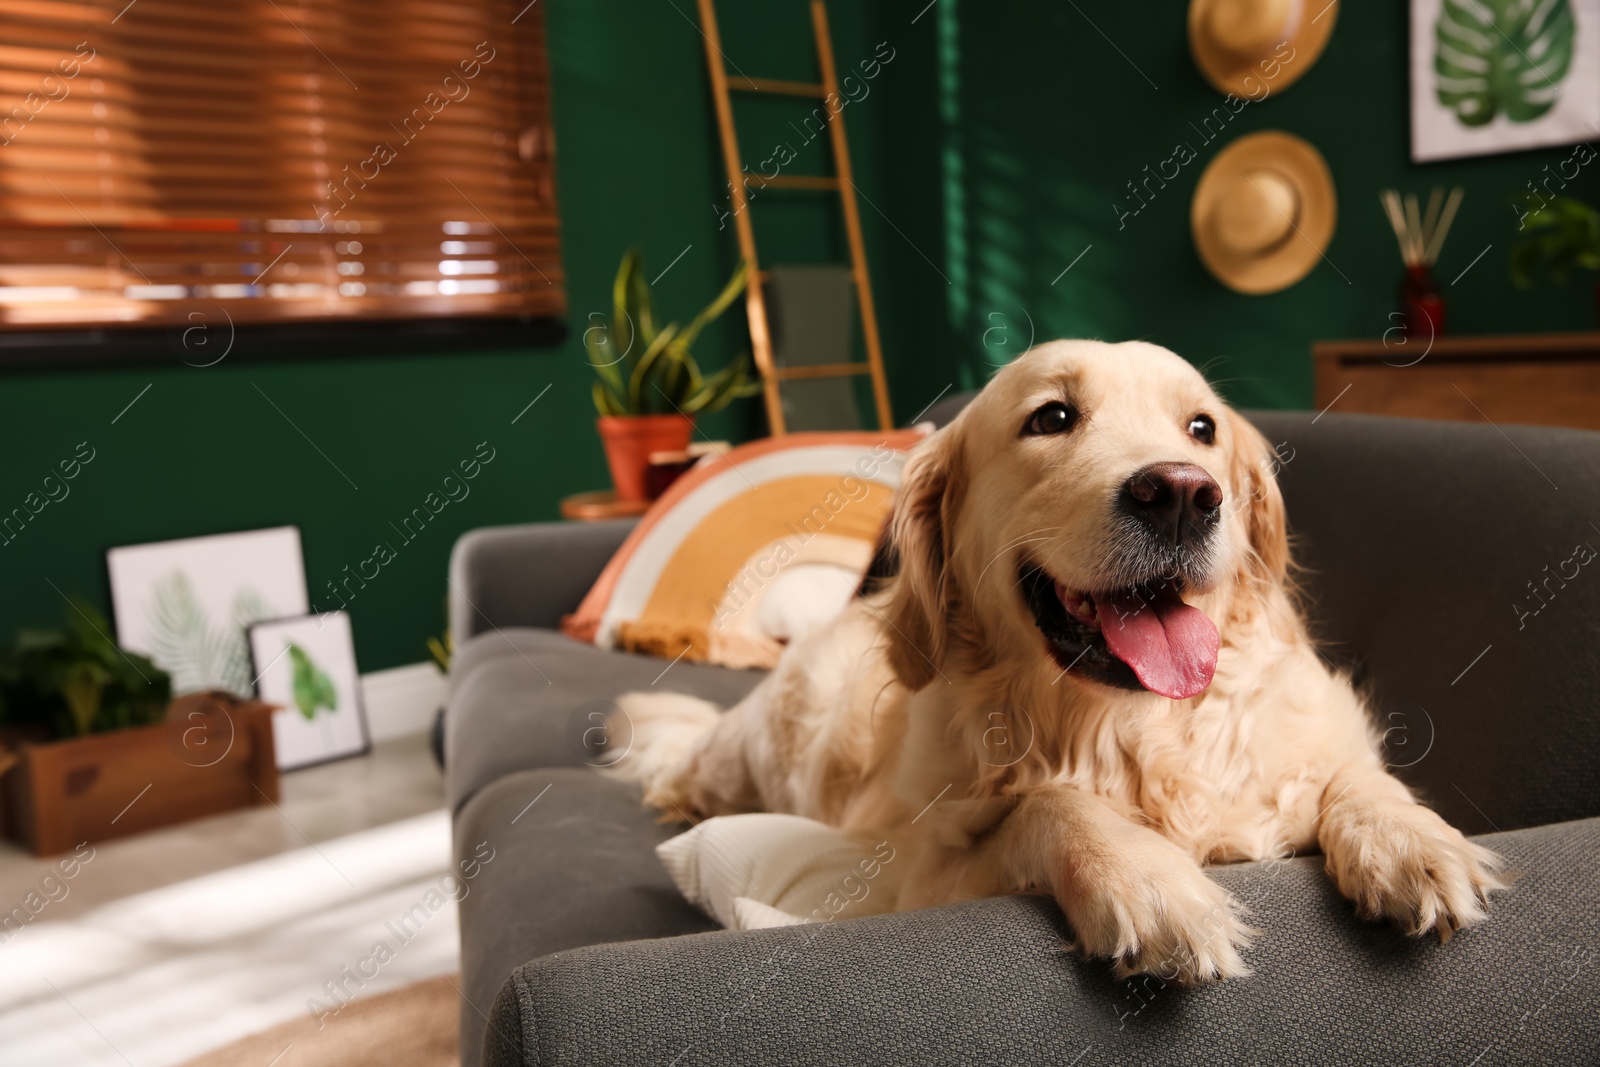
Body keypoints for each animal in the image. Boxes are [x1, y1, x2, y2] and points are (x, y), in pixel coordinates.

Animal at [608, 342, 1497, 985]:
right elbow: (1048, 804)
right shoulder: (916, 879)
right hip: (759, 750)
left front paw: (1410, 840)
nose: (1183, 493)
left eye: (1202, 429)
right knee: (686, 760)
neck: (1137, 726)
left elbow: (1355, 774)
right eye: (1053, 416)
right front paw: (1148, 879)